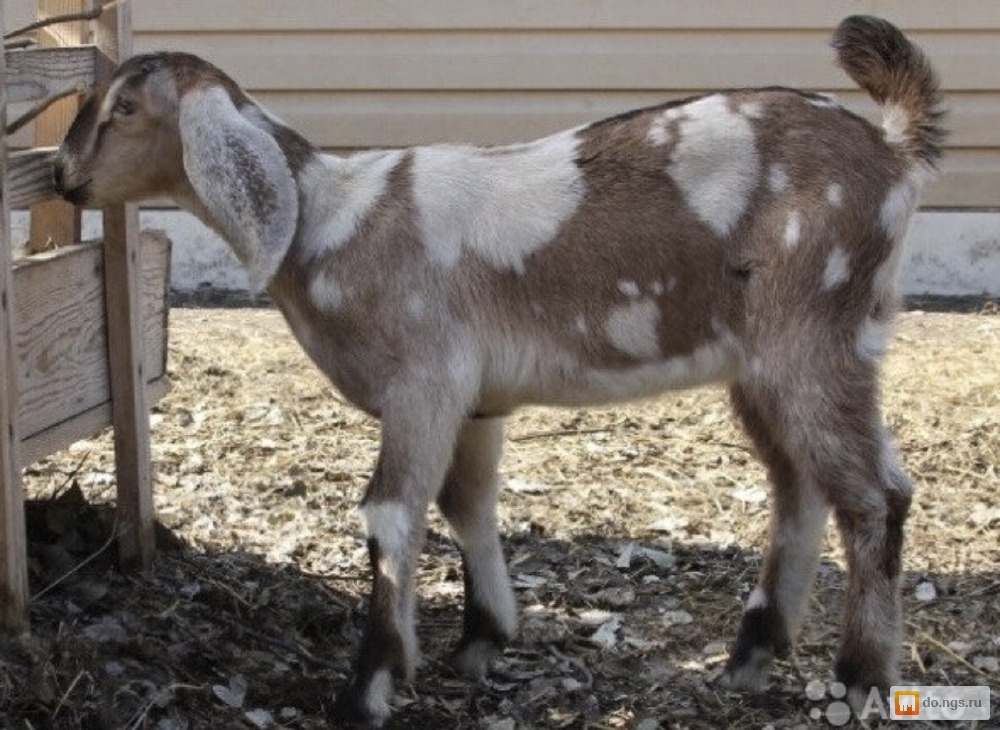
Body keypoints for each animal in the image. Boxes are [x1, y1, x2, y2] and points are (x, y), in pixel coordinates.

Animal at [54, 14, 944, 724]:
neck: (331, 222)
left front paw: (368, 689)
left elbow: (390, 515)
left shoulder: (423, 381)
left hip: (816, 332)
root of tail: (892, 151)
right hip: (768, 360)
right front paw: (484, 639)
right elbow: (466, 505)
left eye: (125, 109)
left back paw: (860, 677)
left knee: (874, 496)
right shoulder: (476, 402)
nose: (62, 176)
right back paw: (754, 654)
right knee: (800, 485)